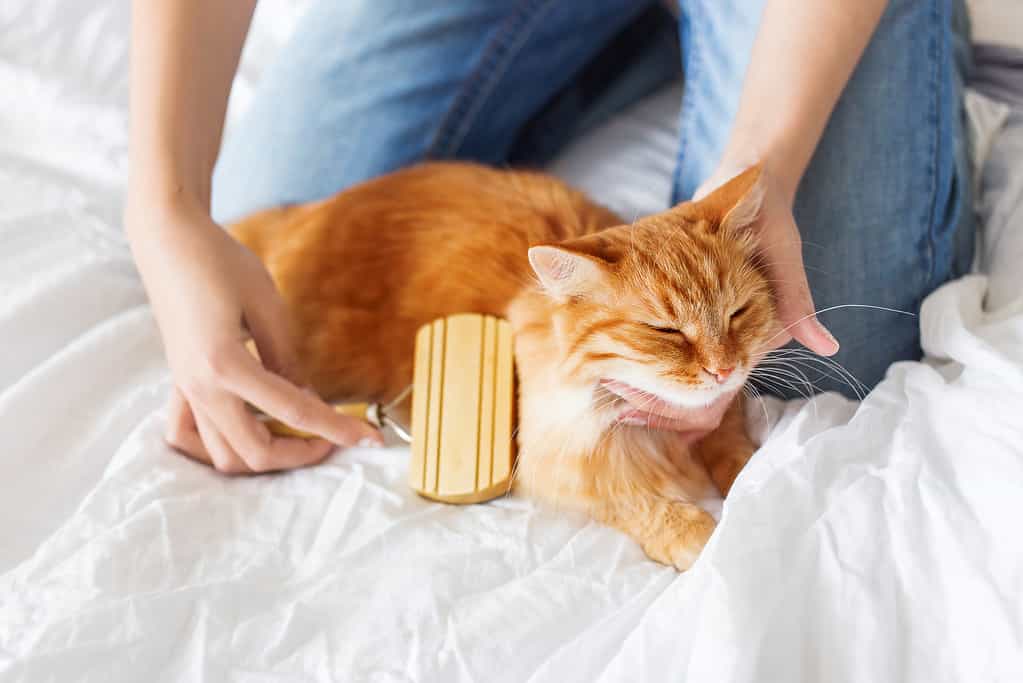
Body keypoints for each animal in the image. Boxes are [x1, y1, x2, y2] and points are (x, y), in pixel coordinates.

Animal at [230, 162, 773, 568]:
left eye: (736, 313)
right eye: (666, 331)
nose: (723, 369)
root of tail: (299, 216)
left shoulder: (724, 413)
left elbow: (736, 452)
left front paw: (750, 482)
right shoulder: (555, 463)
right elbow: (634, 500)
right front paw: (697, 534)